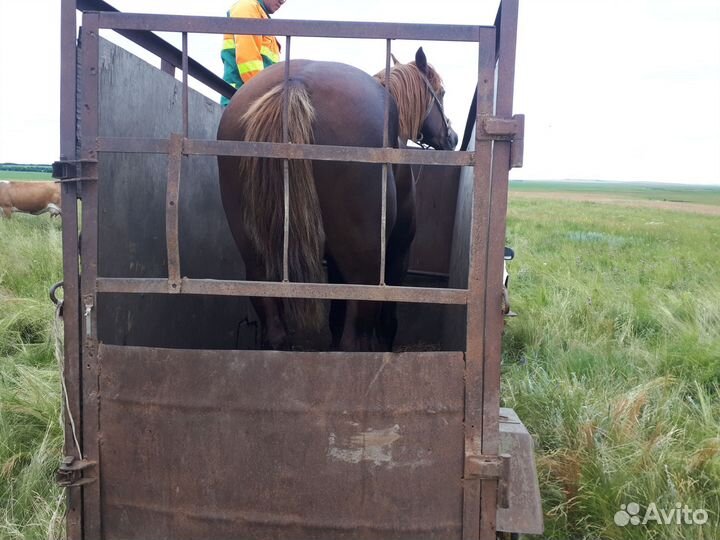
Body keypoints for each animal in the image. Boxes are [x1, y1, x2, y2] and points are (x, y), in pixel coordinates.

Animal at [217, 47, 457, 351]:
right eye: (442, 92)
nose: (453, 138)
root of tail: (295, 83)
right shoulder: (398, 253)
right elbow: (387, 321)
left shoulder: (334, 261)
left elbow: (335, 316)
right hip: (365, 269)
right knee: (353, 340)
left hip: (259, 261)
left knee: (276, 333)